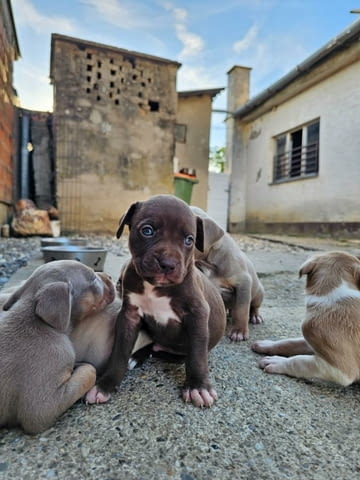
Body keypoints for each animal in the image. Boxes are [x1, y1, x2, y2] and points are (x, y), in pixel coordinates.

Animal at [86, 193, 226, 406]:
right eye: (147, 230)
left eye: (189, 240)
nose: (167, 264)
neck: (155, 287)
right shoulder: (129, 316)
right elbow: (119, 351)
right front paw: (106, 384)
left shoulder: (197, 315)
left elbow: (197, 355)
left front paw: (198, 386)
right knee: (151, 347)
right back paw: (136, 357)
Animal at [191, 206, 264, 342]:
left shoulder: (243, 283)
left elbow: (242, 310)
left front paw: (239, 332)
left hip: (258, 293)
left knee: (254, 306)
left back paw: (255, 316)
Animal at [252, 251, 360, 386]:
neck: (335, 297)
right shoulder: (313, 343)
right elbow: (290, 342)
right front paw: (267, 344)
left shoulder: (340, 370)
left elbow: (299, 361)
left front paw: (277, 362)